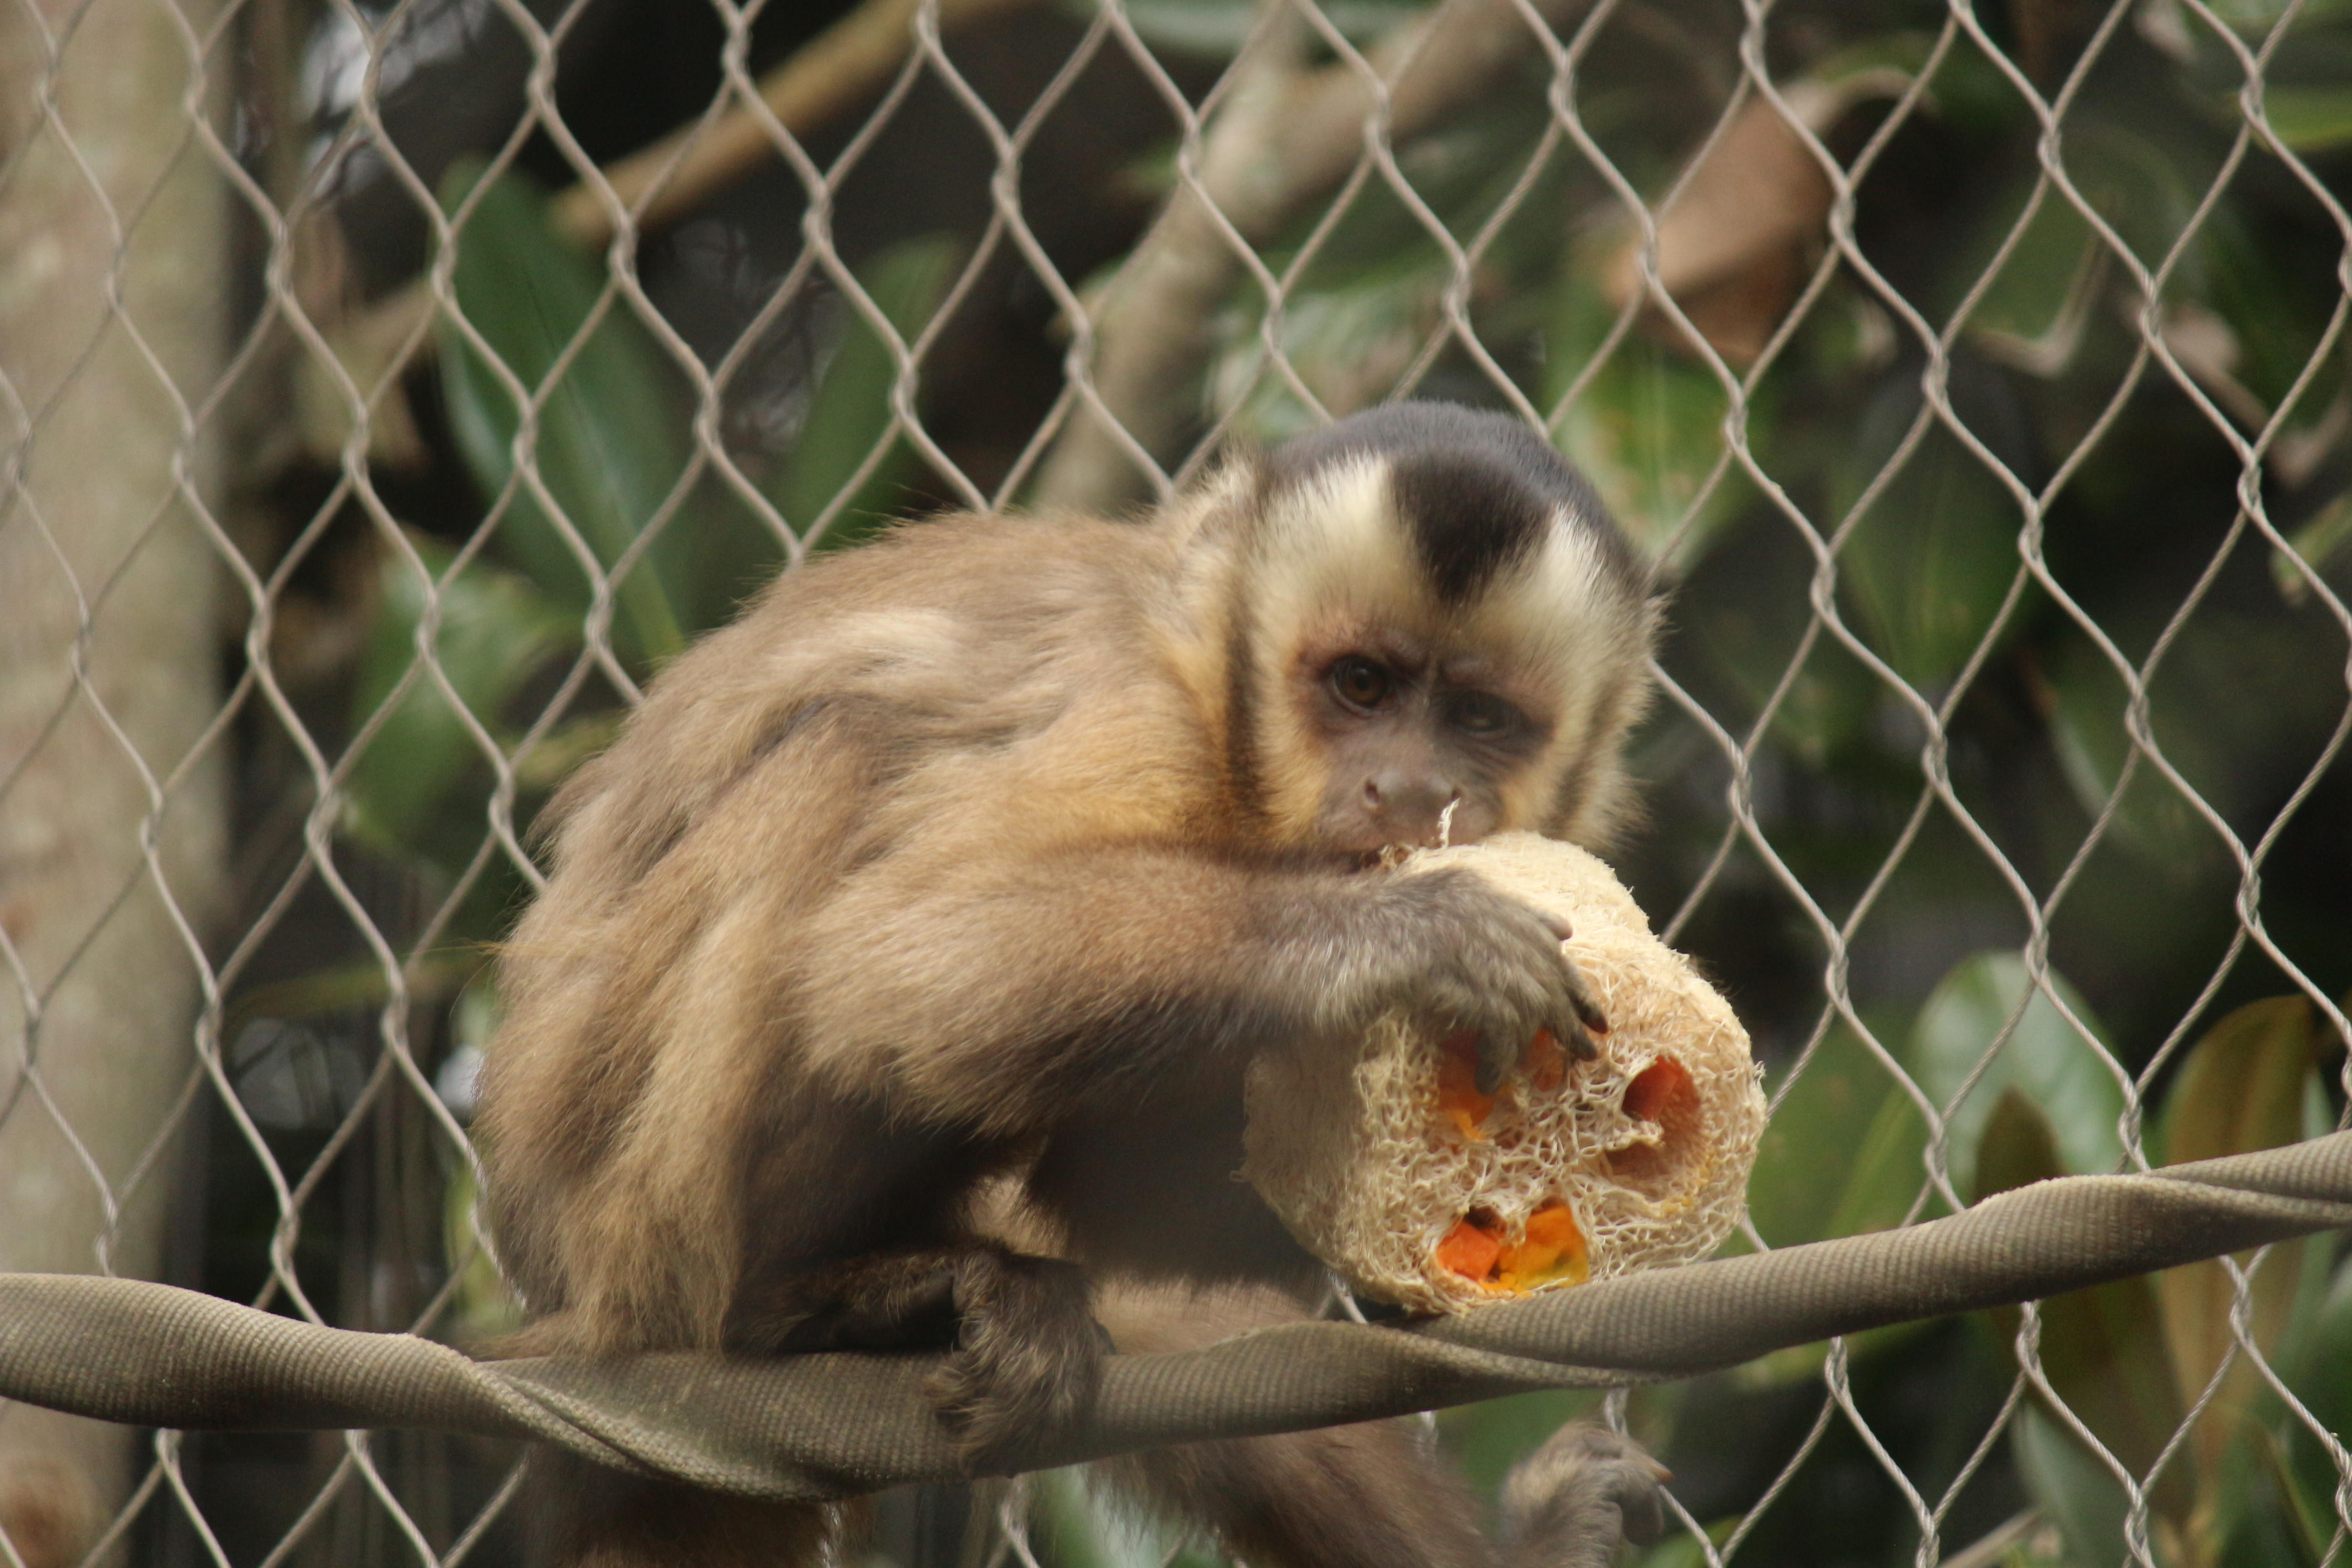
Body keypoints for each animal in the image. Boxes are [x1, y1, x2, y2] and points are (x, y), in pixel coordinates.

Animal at [468, 409, 1665, 1568]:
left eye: (1480, 719)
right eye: (1359, 685)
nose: (1409, 789)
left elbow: (1106, 1197)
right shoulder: (1142, 720)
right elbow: (899, 956)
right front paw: (1406, 937)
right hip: (620, 1214)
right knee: (844, 755)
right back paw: (792, 1301)